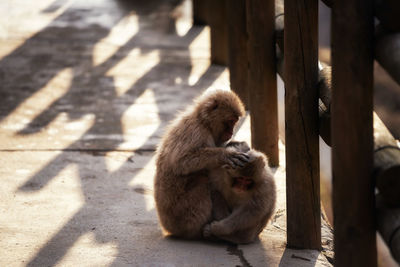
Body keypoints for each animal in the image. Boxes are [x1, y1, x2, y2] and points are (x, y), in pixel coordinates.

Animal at [155, 90, 248, 239]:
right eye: (230, 121)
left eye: (235, 121)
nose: (231, 132)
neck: (204, 122)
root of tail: (167, 227)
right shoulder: (196, 133)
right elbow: (181, 162)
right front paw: (225, 155)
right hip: (182, 216)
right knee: (202, 179)